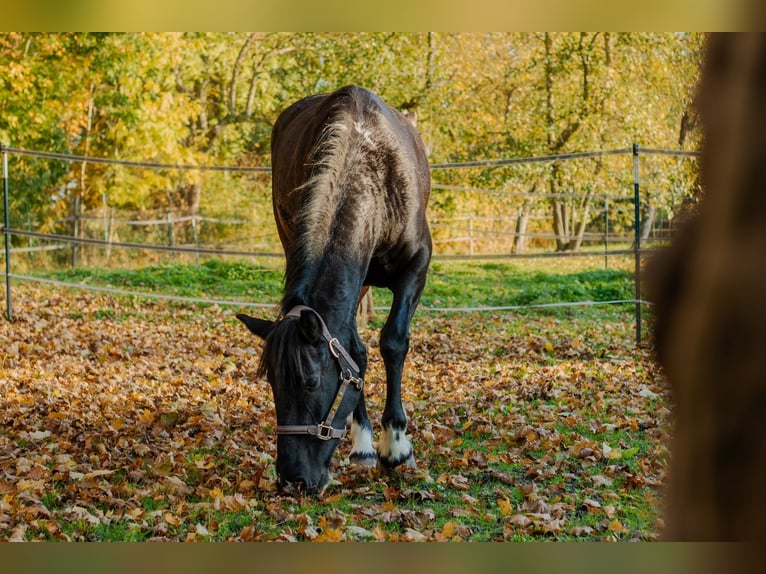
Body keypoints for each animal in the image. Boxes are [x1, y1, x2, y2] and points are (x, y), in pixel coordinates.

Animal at [237, 85, 432, 496]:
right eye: (271, 383)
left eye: (311, 382)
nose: (293, 479)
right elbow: (354, 355)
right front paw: (365, 444)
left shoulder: (417, 267)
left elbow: (394, 341)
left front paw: (396, 446)